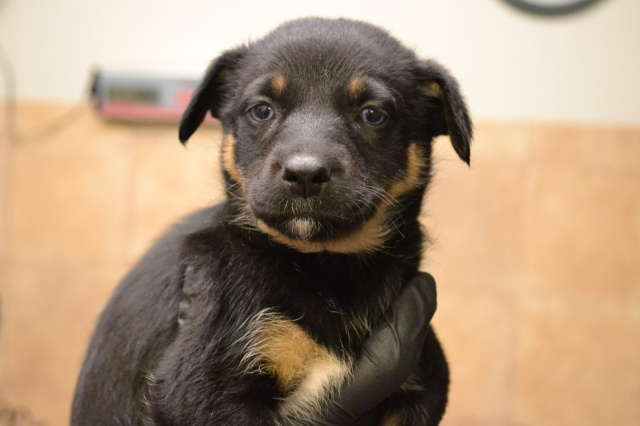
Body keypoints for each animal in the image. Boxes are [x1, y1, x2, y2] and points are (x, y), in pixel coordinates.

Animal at [72, 17, 472, 425]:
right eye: (261, 111)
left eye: (373, 114)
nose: (305, 174)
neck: (326, 268)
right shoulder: (200, 388)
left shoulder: (421, 386)